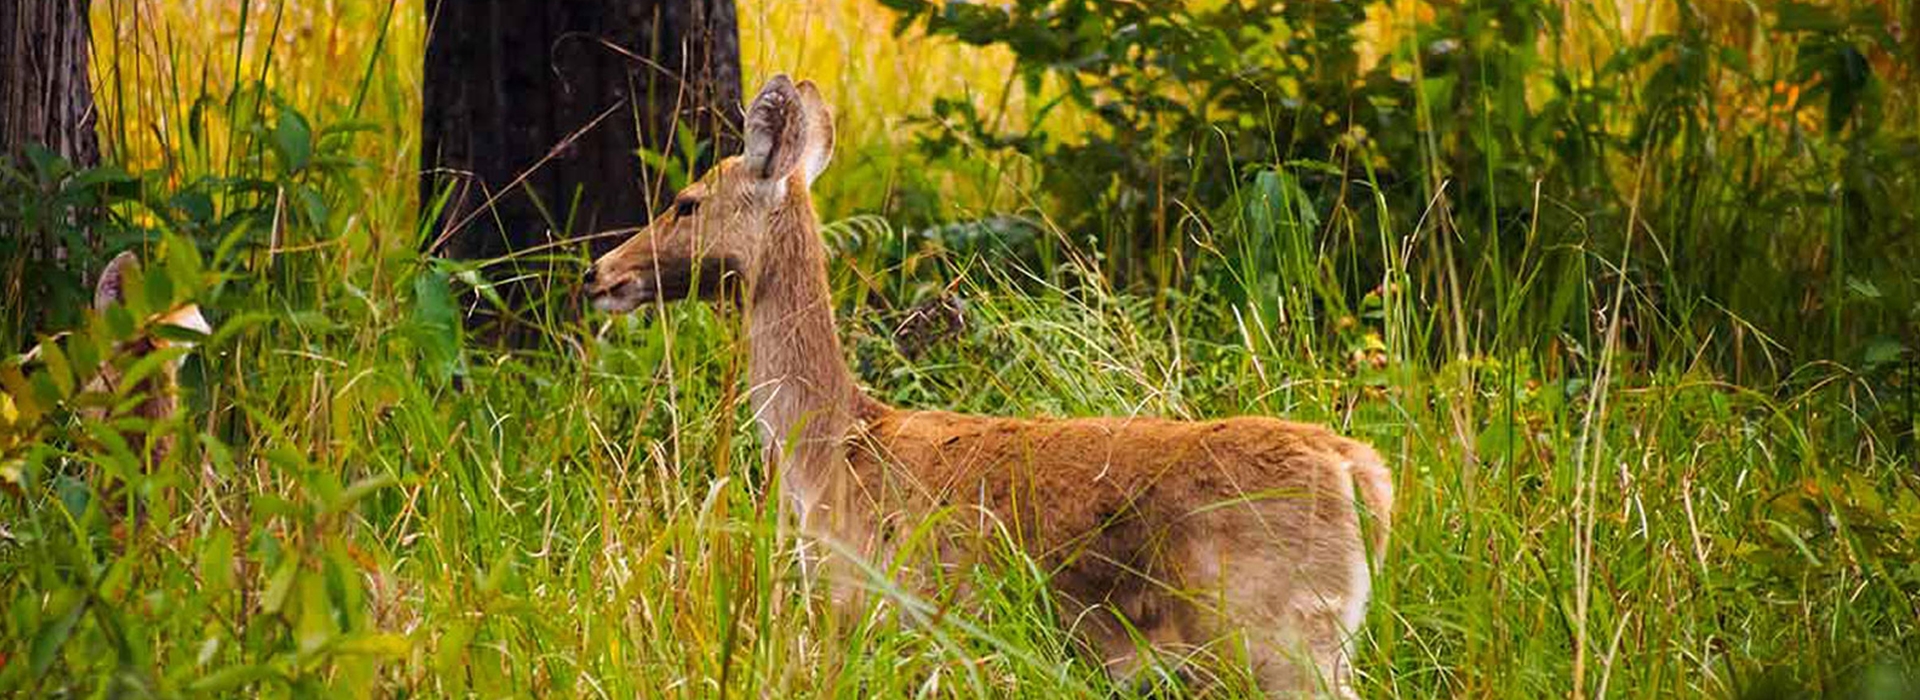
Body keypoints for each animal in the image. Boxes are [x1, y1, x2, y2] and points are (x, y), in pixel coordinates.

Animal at [583, 73, 1397, 694]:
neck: (833, 450)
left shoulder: (879, 603)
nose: (598, 273)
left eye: (686, 202)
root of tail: (1360, 471)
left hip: (1278, 632)